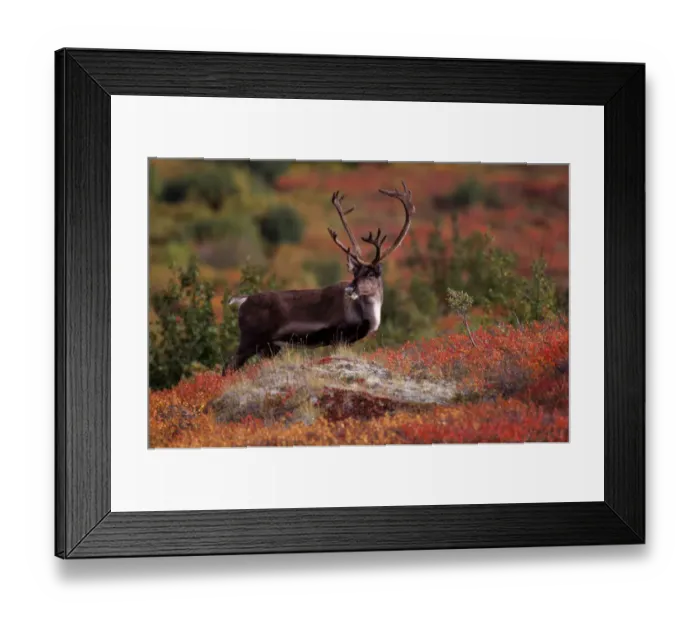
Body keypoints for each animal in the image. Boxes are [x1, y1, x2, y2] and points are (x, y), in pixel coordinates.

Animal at [223, 181, 415, 374]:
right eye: (355, 273)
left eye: (369, 273)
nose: (350, 289)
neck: (368, 314)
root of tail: (242, 300)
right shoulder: (338, 335)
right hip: (250, 339)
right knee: (228, 365)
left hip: (270, 346)